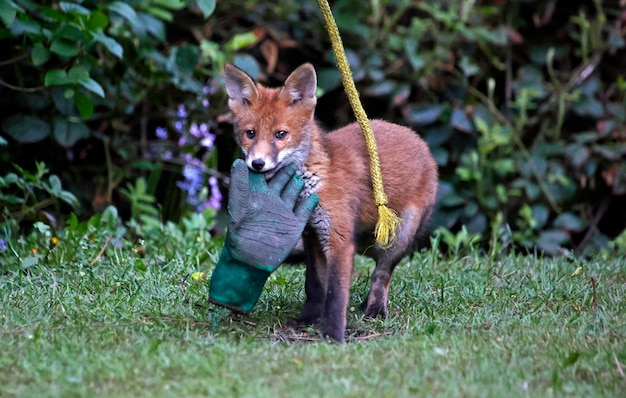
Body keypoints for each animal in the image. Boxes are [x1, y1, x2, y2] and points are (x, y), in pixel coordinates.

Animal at [222, 63, 436, 342]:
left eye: (281, 134)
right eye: (250, 133)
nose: (257, 164)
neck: (313, 181)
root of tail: (419, 140)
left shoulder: (339, 238)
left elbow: (335, 292)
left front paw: (333, 335)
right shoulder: (311, 234)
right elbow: (315, 285)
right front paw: (308, 319)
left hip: (397, 238)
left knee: (381, 275)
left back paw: (375, 309)